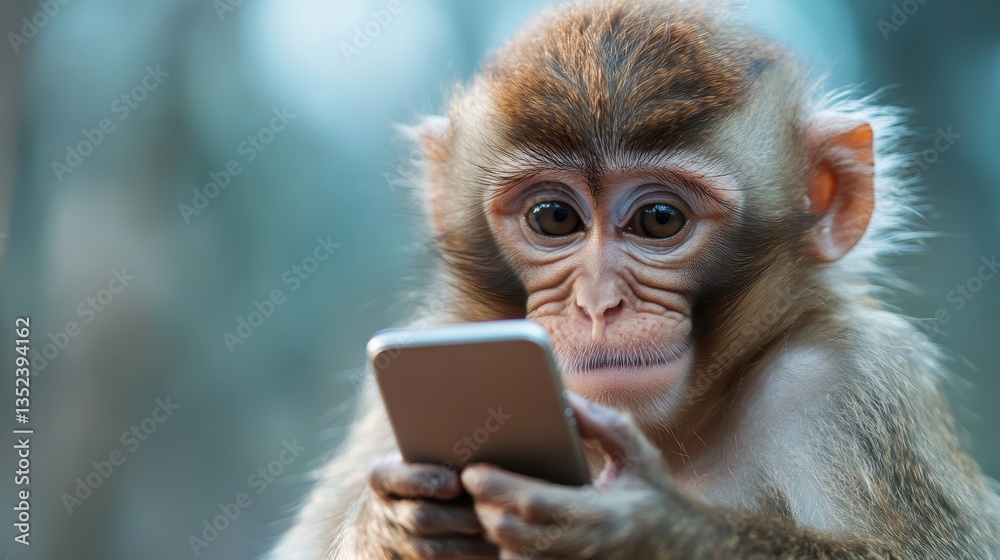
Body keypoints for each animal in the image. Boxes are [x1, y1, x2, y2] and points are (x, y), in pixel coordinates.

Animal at [270, 1, 1000, 558]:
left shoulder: (853, 379)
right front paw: (398, 524)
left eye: (658, 219)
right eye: (554, 216)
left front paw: (643, 524)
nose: (598, 305)